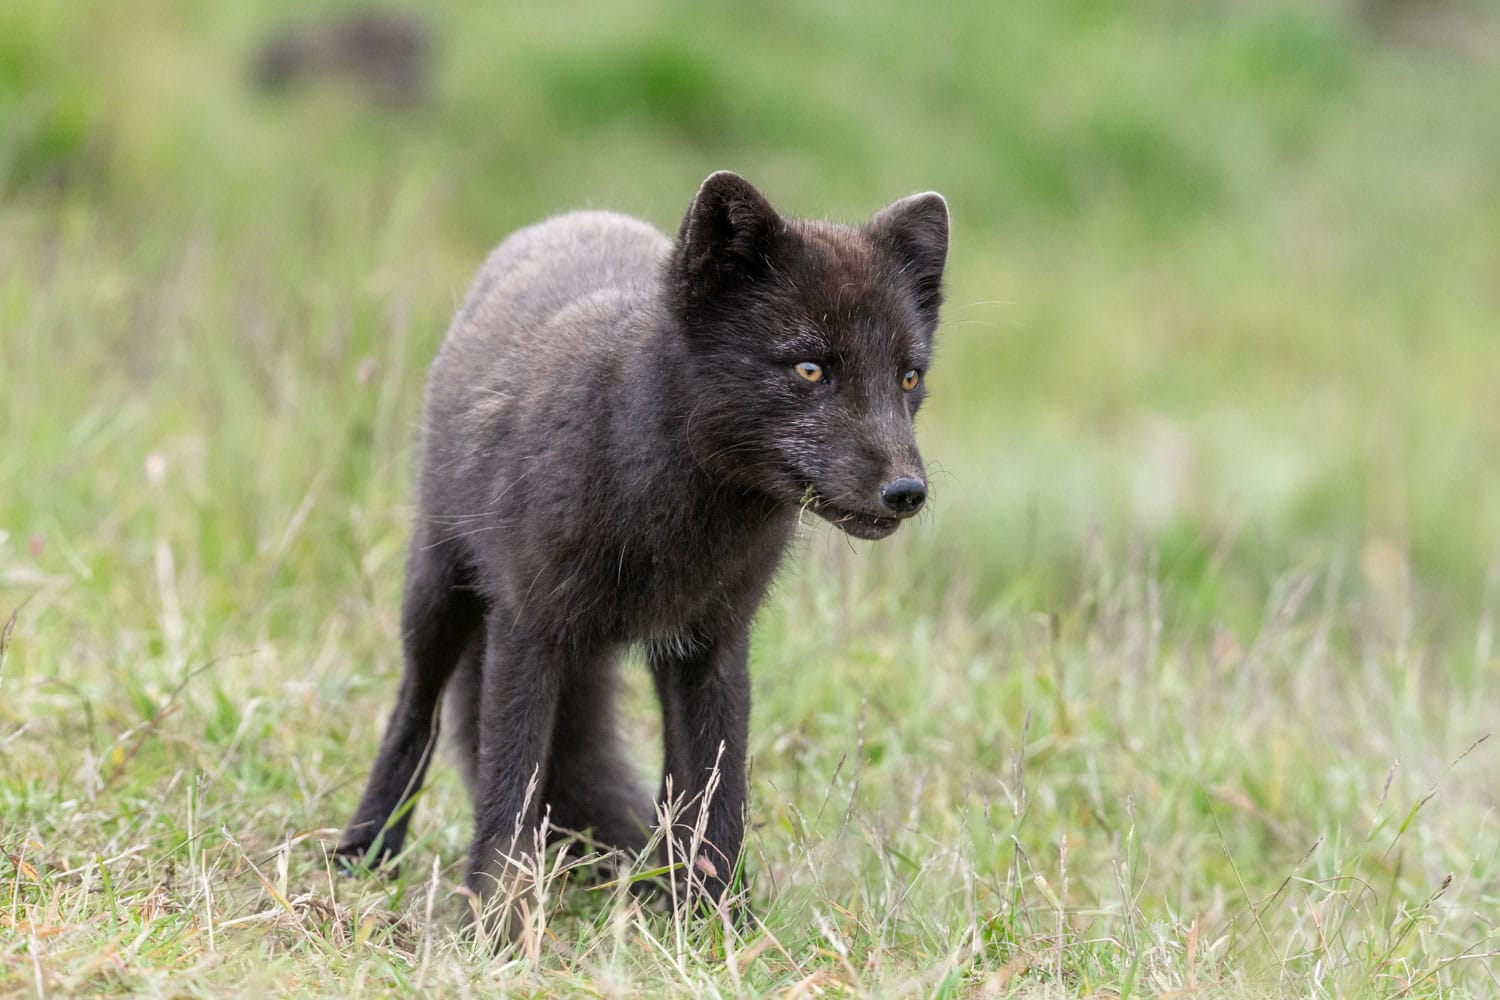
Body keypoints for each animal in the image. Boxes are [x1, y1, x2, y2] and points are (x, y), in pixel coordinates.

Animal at [337, 170, 948, 929]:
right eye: (810, 369)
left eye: (908, 377)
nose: (907, 491)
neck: (664, 524)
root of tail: (575, 217)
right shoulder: (528, 627)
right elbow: (509, 792)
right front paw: (497, 923)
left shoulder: (713, 645)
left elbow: (716, 798)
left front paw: (720, 924)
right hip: (438, 593)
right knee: (413, 714)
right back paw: (366, 854)